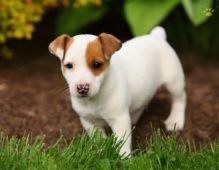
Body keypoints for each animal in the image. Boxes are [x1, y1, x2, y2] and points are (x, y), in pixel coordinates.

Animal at [48, 26, 186, 157]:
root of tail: (156, 36)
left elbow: (122, 142)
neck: (94, 99)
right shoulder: (89, 121)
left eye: (97, 64)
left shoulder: (120, 120)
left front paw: (125, 158)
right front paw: (101, 150)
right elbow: (98, 138)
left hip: (174, 81)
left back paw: (175, 120)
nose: (82, 87)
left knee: (180, 98)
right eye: (69, 65)